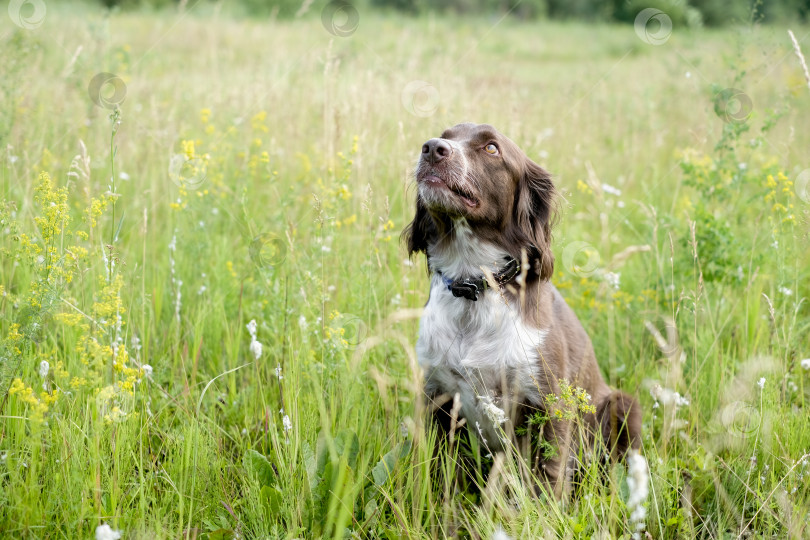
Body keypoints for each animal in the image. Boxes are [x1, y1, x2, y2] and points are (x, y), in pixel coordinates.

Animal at [402, 123, 636, 498]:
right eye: (444, 135)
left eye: (492, 148)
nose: (432, 148)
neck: (475, 288)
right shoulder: (438, 396)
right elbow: (440, 480)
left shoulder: (548, 403)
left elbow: (548, 481)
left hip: (623, 405)